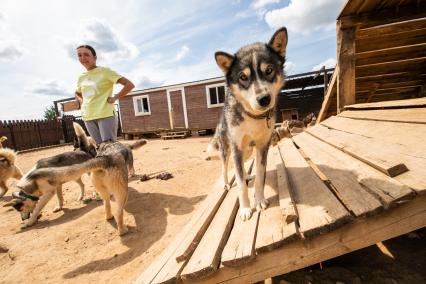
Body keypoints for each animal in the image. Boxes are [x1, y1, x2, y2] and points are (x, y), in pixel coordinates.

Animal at [3, 122, 148, 235]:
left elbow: (57, 199)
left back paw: (107, 215)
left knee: (105, 204)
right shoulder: (50, 191)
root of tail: (104, 159)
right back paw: (122, 230)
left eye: (20, 209)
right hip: (121, 191)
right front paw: (31, 221)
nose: (22, 219)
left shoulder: (54, 188)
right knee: (118, 212)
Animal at [209, 26, 288, 221]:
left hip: (248, 151)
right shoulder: (236, 148)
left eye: (269, 70)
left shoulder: (262, 146)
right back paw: (226, 184)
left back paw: (247, 176)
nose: (264, 99)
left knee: (244, 167)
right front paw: (245, 209)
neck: (253, 117)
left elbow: (260, 176)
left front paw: (259, 200)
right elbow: (239, 184)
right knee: (225, 168)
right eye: (243, 77)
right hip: (227, 149)